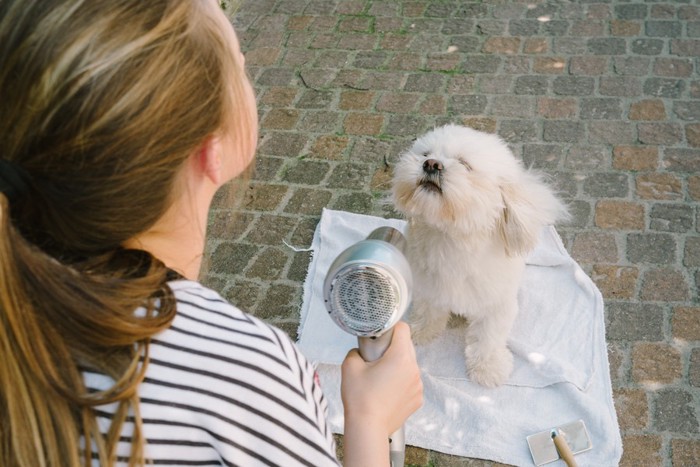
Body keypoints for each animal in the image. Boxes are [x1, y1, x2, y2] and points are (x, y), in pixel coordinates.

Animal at [392, 124, 568, 388]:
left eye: (465, 164)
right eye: (425, 154)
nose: (431, 164)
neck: (453, 239)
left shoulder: (496, 305)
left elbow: (489, 337)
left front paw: (488, 367)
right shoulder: (429, 286)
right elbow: (428, 310)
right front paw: (422, 330)